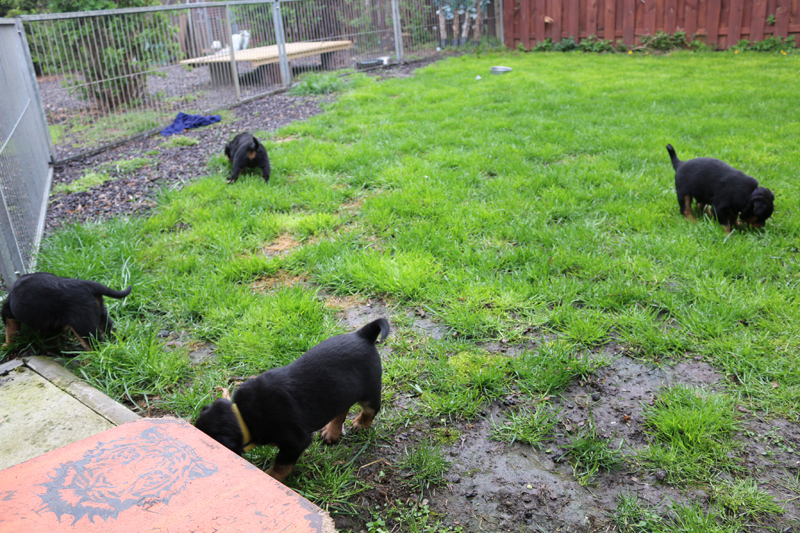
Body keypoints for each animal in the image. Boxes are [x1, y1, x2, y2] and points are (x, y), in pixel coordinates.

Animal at [1, 272, 132, 350]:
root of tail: (87, 285)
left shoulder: (8, 313)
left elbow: (10, 330)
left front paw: (6, 345)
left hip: (82, 325)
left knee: (97, 344)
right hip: (101, 314)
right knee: (111, 330)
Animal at [194, 317, 389, 481]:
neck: (243, 416)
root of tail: (363, 334)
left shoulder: (294, 442)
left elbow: (281, 465)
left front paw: (271, 478)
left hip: (369, 390)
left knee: (370, 410)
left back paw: (360, 424)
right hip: (341, 391)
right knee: (342, 408)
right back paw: (331, 431)